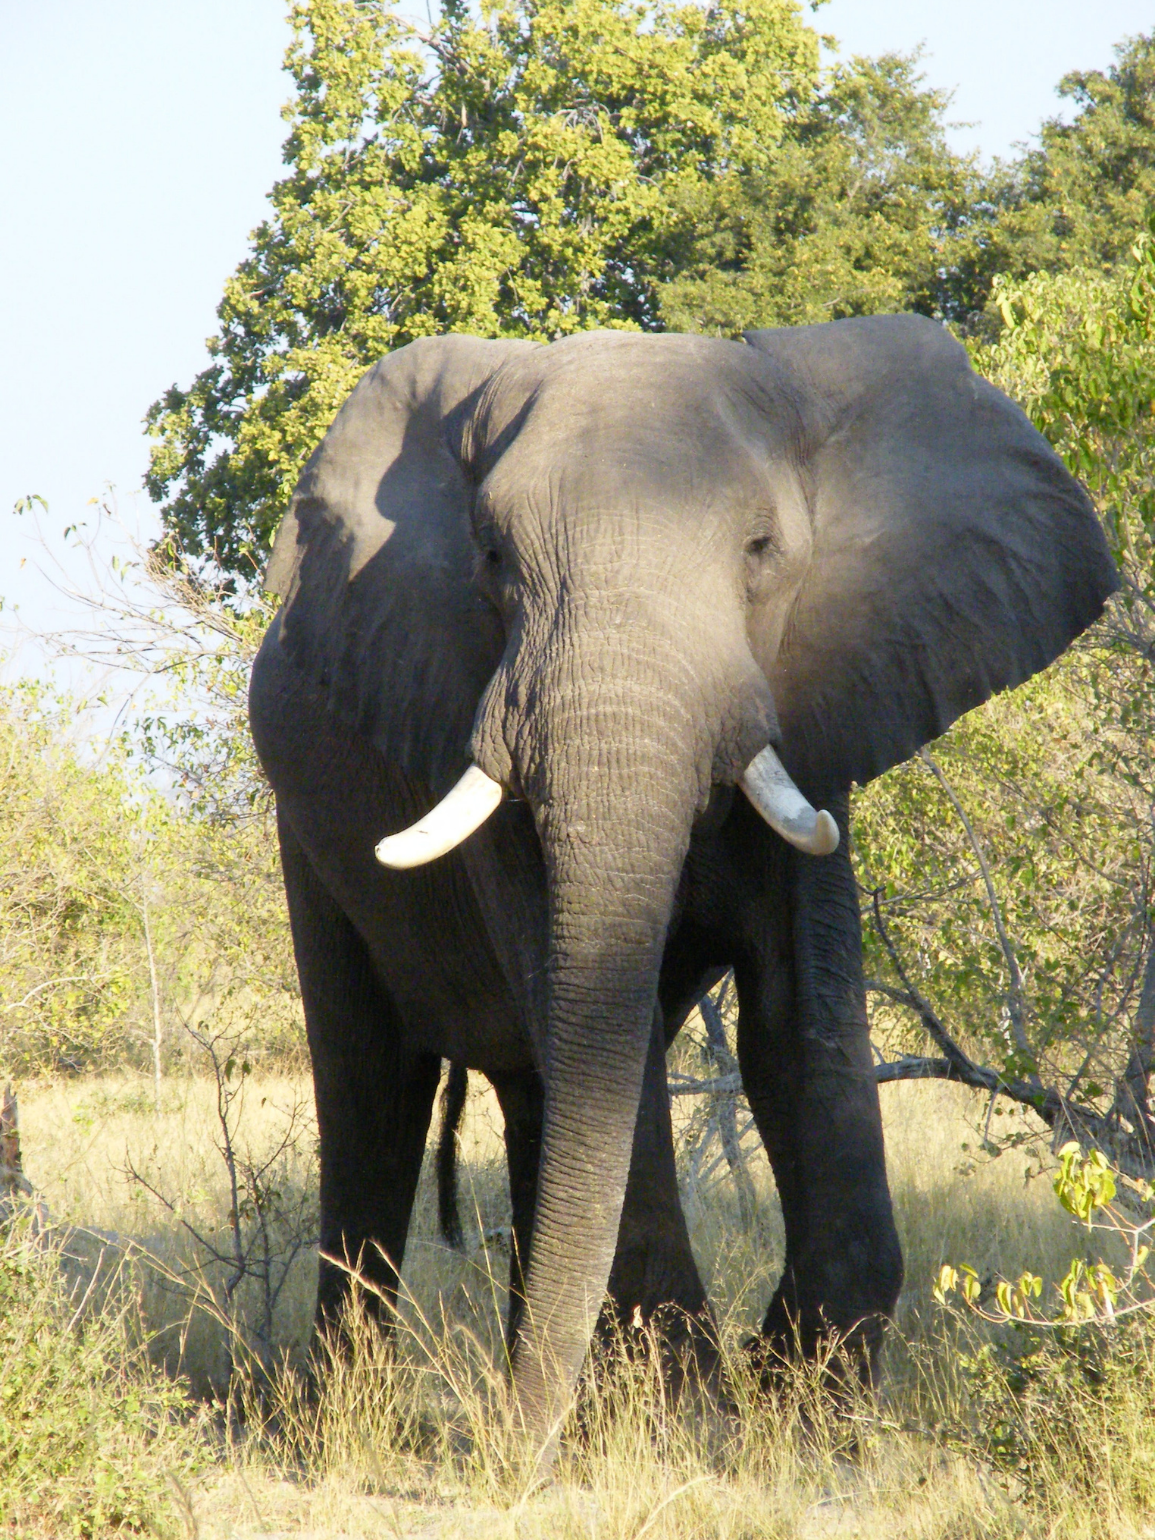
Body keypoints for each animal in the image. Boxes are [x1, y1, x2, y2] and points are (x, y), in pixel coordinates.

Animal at [246, 315, 1121, 1453]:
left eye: (761, 553)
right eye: (491, 559)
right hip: (305, 837)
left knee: (532, 1097)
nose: (504, 1450)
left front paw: (801, 1410)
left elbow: (795, 1033)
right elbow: (591, 1036)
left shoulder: (814, 711)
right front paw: (694, 1416)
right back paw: (348, 1423)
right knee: (371, 1095)